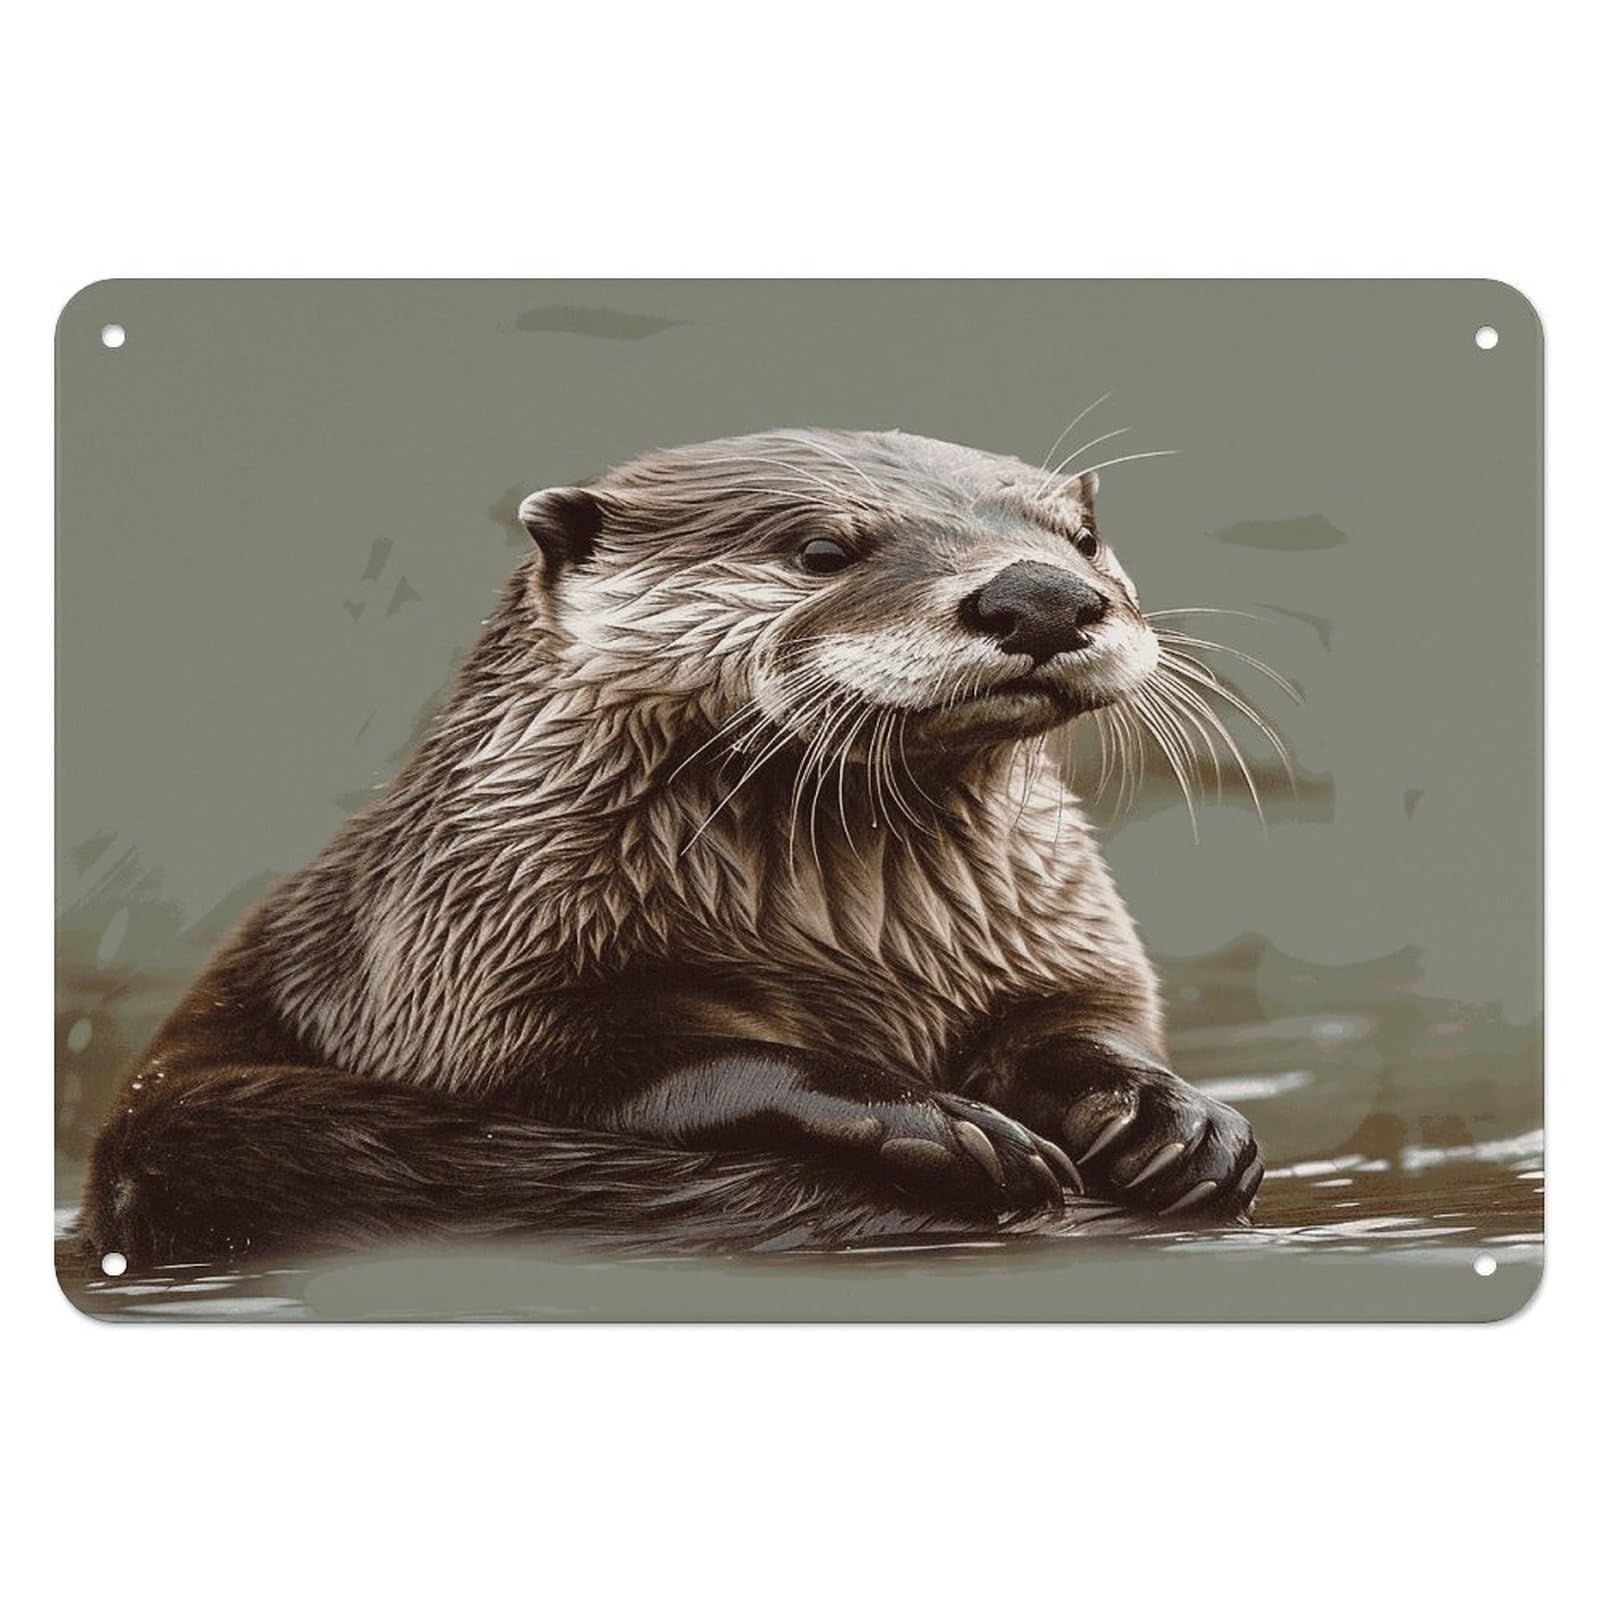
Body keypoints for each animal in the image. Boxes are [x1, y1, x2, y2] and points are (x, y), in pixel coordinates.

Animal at [81, 428, 1264, 1264]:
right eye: (821, 549)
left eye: (1079, 538)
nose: (1043, 594)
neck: (859, 946)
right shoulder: (460, 953)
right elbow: (637, 1060)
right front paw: (937, 1119)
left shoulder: (1052, 935)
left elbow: (1081, 1024)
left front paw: (1177, 1114)